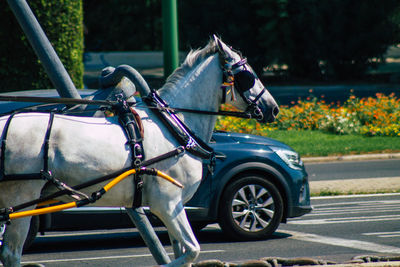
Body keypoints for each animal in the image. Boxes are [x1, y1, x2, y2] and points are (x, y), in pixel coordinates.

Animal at [0, 36, 280, 267]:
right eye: (248, 74)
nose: (273, 108)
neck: (174, 126)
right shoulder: (166, 203)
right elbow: (192, 250)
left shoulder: (175, 206)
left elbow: (184, 252)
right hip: (22, 197)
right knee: (11, 254)